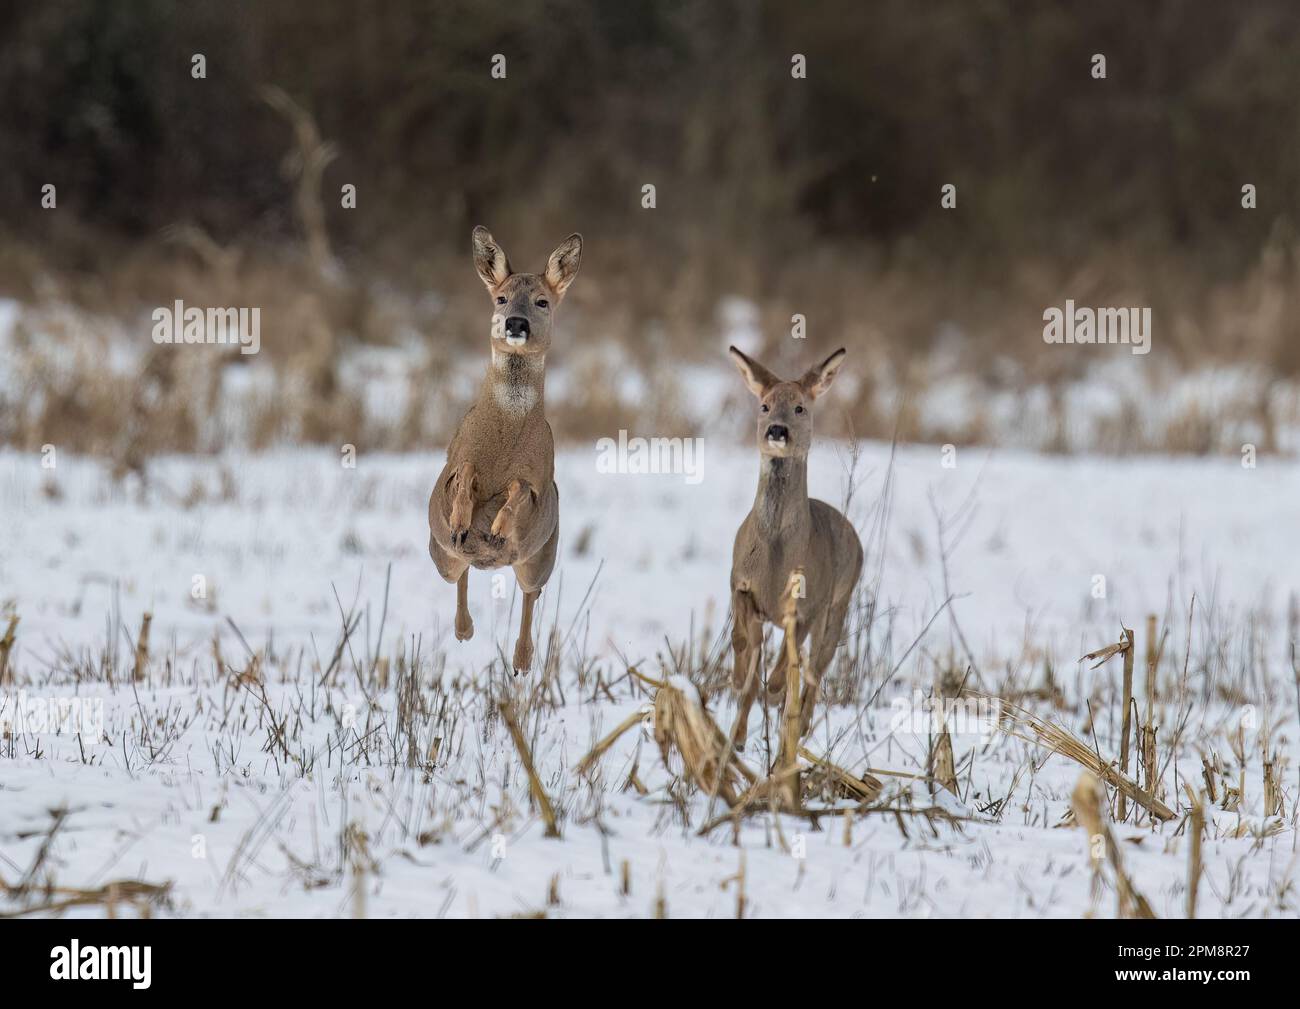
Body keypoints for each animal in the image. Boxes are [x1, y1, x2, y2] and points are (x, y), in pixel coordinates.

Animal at [428, 224, 582, 676]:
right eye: (500, 298)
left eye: (542, 300)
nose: (515, 322)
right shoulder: (453, 464)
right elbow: (463, 474)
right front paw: (464, 522)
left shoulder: (540, 481)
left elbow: (519, 491)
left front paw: (496, 529)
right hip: (440, 555)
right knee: (460, 573)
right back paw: (464, 629)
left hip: (542, 555)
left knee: (531, 594)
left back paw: (521, 660)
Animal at [733, 345, 863, 748]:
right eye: (764, 405)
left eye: (800, 407)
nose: (777, 430)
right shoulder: (740, 583)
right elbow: (742, 647)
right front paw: (737, 681)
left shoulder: (810, 602)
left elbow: (787, 664)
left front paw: (775, 690)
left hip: (838, 605)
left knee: (816, 671)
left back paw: (799, 727)